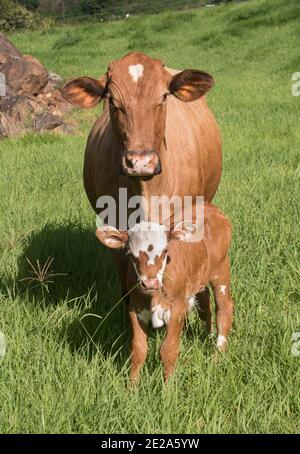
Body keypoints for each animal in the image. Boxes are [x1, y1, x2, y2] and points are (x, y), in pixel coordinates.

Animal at [96, 204, 234, 382]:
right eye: (130, 253)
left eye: (165, 250)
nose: (149, 282)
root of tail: (210, 207)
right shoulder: (135, 308)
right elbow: (138, 349)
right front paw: (132, 385)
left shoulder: (177, 308)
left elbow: (168, 349)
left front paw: (168, 385)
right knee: (205, 304)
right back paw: (207, 335)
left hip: (221, 270)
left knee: (224, 308)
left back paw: (217, 355)